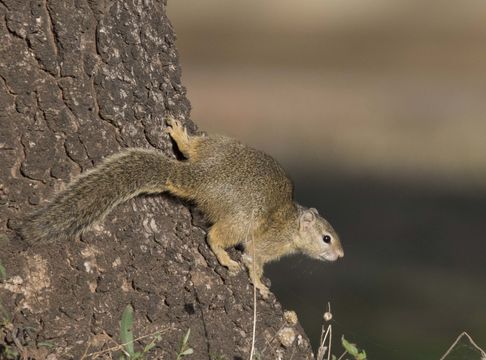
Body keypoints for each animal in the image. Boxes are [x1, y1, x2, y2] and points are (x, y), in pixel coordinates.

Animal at [19, 118, 344, 298]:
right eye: (326, 238)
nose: (340, 256)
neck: (291, 225)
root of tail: (204, 176)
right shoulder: (265, 244)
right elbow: (253, 261)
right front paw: (260, 286)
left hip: (219, 146)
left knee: (194, 149)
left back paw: (181, 137)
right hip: (240, 218)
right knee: (214, 236)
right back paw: (224, 259)